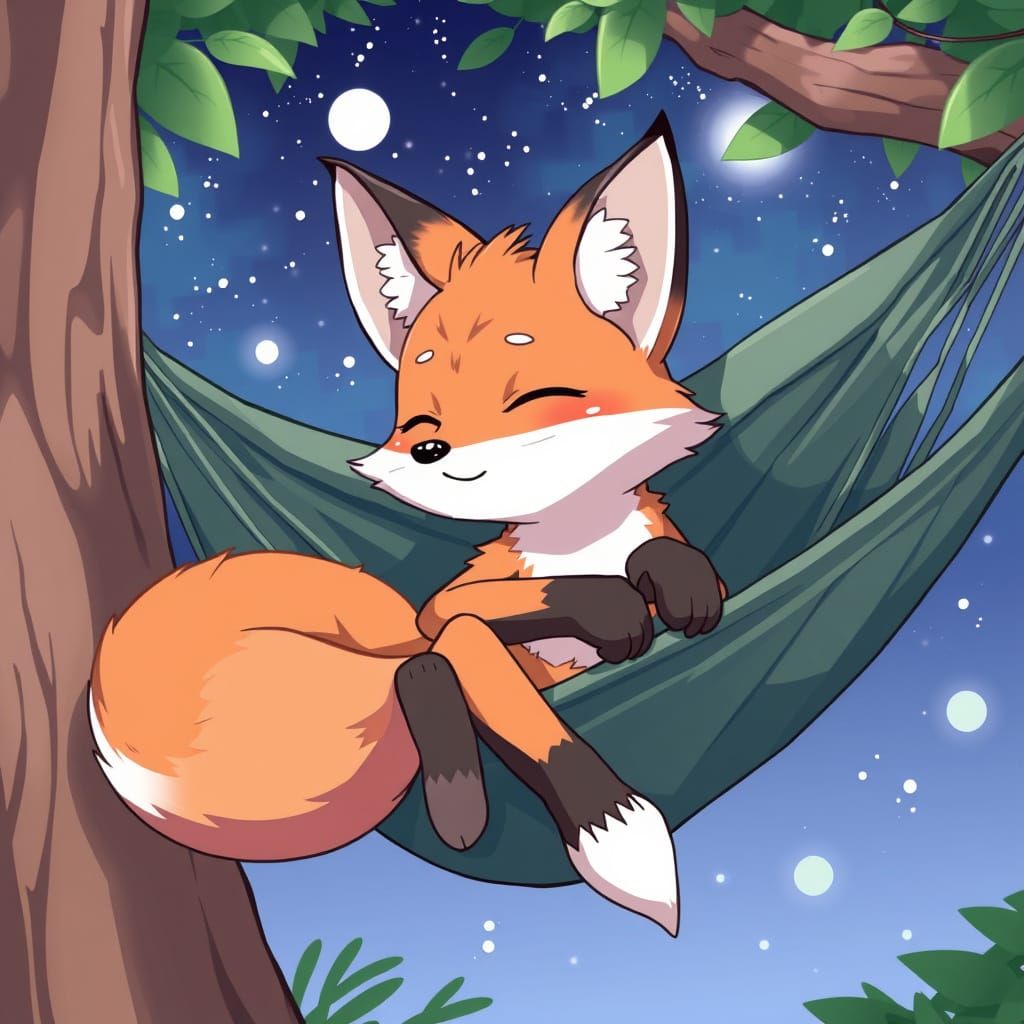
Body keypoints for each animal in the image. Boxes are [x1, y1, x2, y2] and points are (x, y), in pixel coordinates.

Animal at [88, 112, 727, 937]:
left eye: (532, 399)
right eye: (420, 419)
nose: (431, 453)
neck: (579, 538)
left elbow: (674, 562)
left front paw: (678, 583)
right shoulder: (457, 612)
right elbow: (494, 644)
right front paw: (619, 832)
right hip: (404, 665)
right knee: (423, 669)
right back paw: (460, 807)